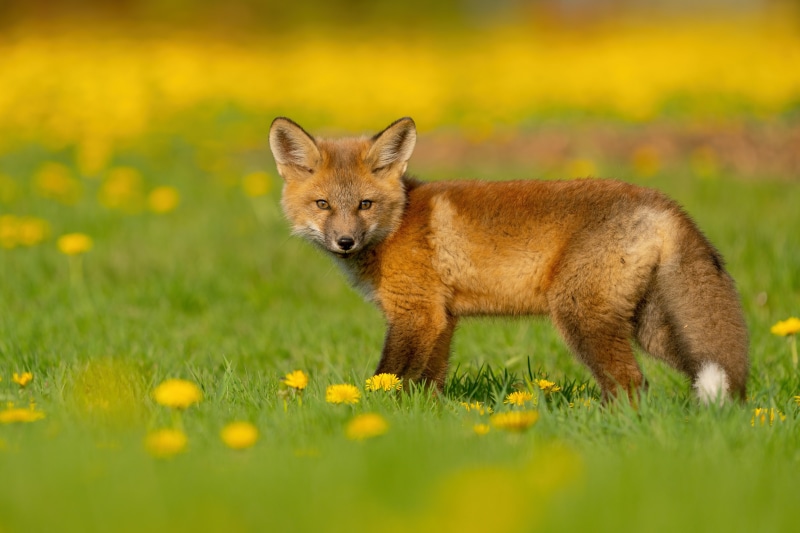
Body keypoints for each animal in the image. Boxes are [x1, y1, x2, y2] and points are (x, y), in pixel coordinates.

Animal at [269, 116, 749, 403]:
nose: (345, 241)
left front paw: (374, 416)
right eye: (323, 204)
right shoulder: (443, 318)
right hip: (649, 326)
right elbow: (429, 382)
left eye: (365, 205)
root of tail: (661, 201)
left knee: (631, 385)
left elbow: (389, 376)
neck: (398, 223)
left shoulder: (415, 314)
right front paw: (425, 423)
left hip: (581, 317)